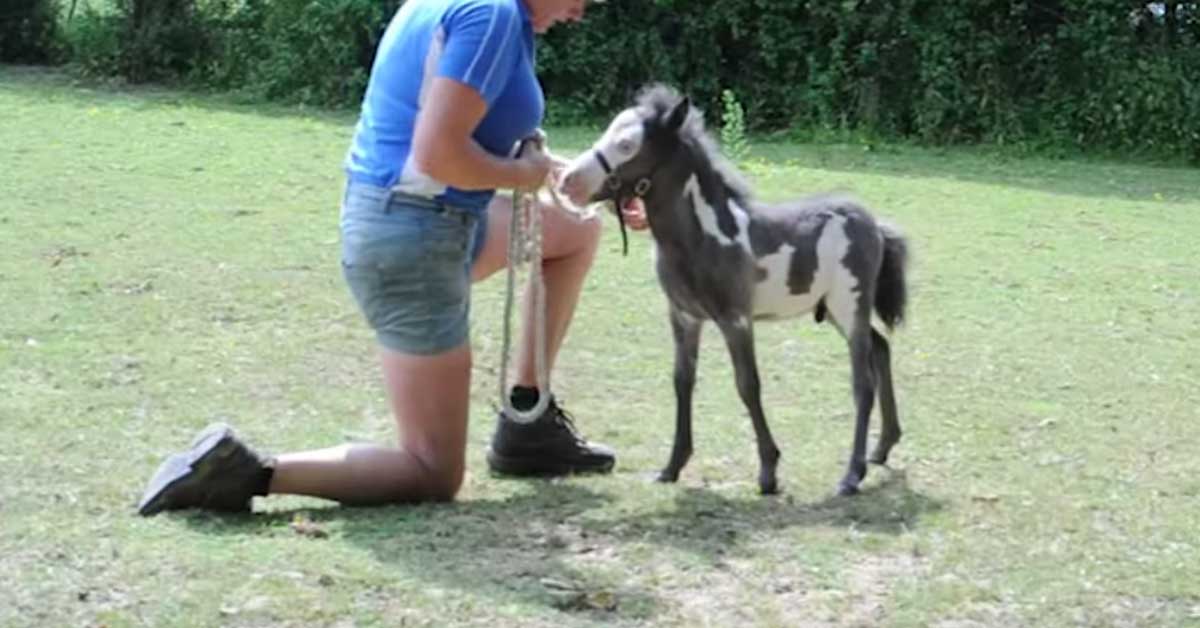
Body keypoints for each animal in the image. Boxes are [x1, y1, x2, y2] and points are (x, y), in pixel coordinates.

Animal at [559, 85, 907, 497]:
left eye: (627, 145)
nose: (567, 181)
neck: (705, 236)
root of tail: (873, 224)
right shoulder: (684, 317)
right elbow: (682, 381)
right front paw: (672, 467)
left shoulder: (736, 319)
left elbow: (748, 385)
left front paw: (769, 472)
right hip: (838, 310)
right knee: (881, 349)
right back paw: (882, 448)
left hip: (849, 305)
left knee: (862, 383)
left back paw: (852, 475)